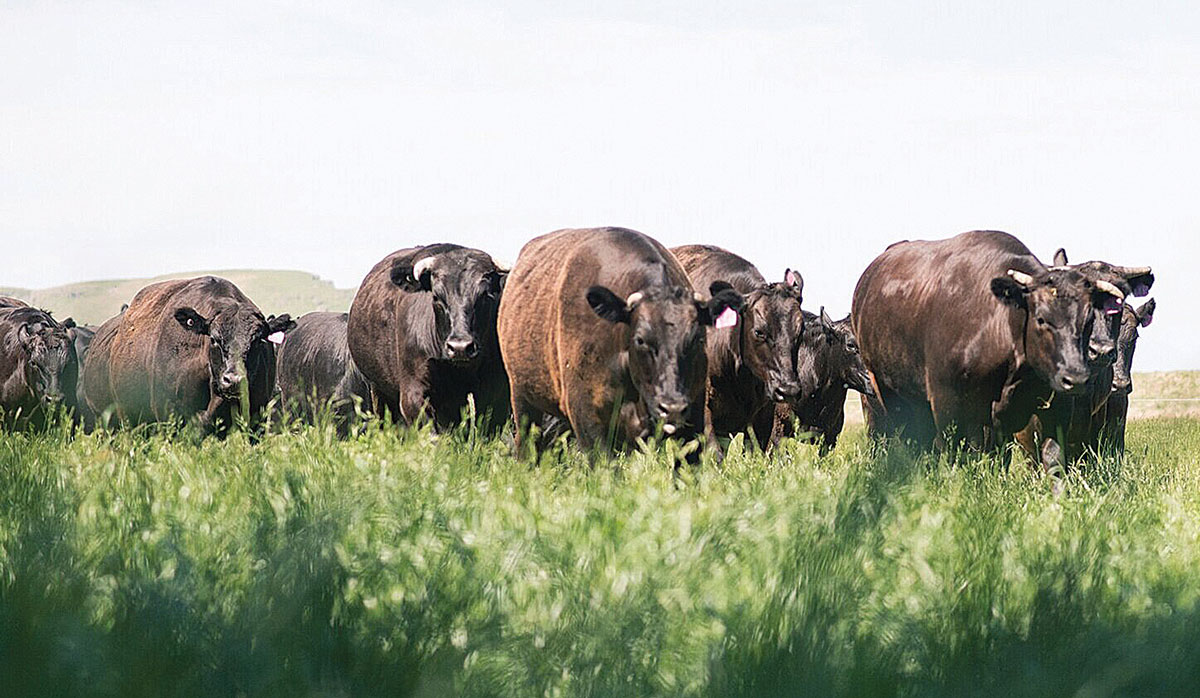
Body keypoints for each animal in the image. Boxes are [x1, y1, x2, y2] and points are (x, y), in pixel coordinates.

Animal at [346, 244, 510, 432]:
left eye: (484, 295)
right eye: (437, 297)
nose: (460, 347)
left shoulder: (495, 395)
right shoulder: (413, 393)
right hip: (378, 391)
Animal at [497, 227, 742, 460]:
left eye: (698, 339)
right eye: (640, 339)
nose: (671, 407)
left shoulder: (695, 412)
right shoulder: (586, 416)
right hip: (522, 398)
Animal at [851, 230, 1127, 451]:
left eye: (1089, 319)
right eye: (1040, 318)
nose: (1076, 378)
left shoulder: (1055, 408)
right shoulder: (946, 402)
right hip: (887, 390)